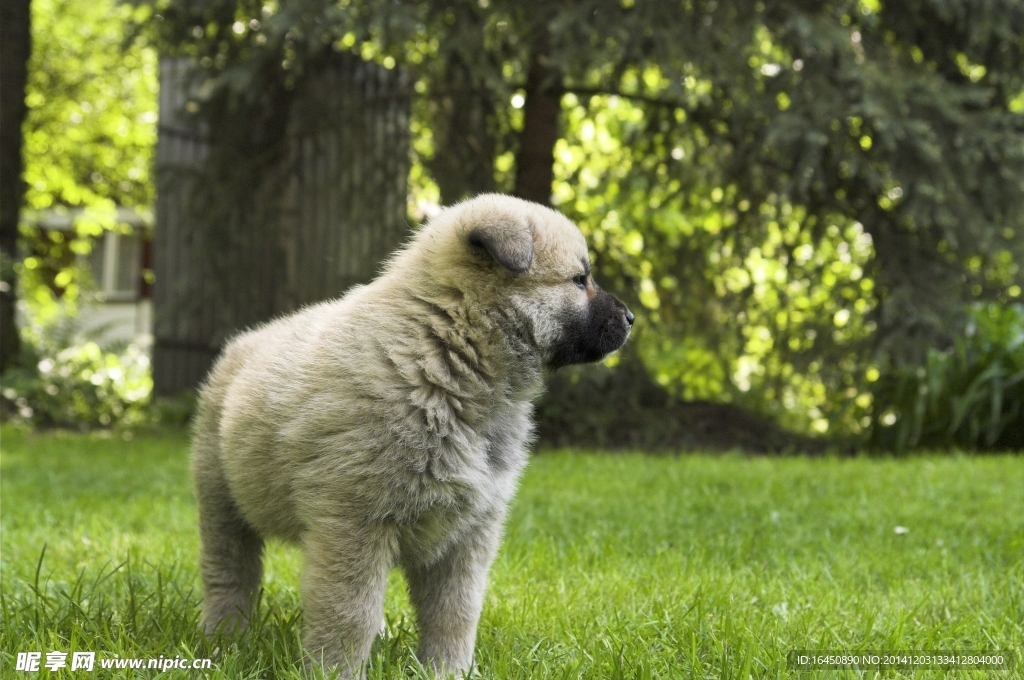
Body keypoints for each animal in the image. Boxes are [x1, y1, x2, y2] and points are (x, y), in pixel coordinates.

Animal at [192, 192, 630, 675]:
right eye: (579, 280)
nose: (631, 317)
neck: (441, 352)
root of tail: (244, 342)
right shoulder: (355, 521)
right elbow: (349, 612)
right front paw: (335, 672)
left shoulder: (468, 532)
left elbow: (455, 611)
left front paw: (448, 671)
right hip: (222, 500)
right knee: (230, 572)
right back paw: (224, 638)